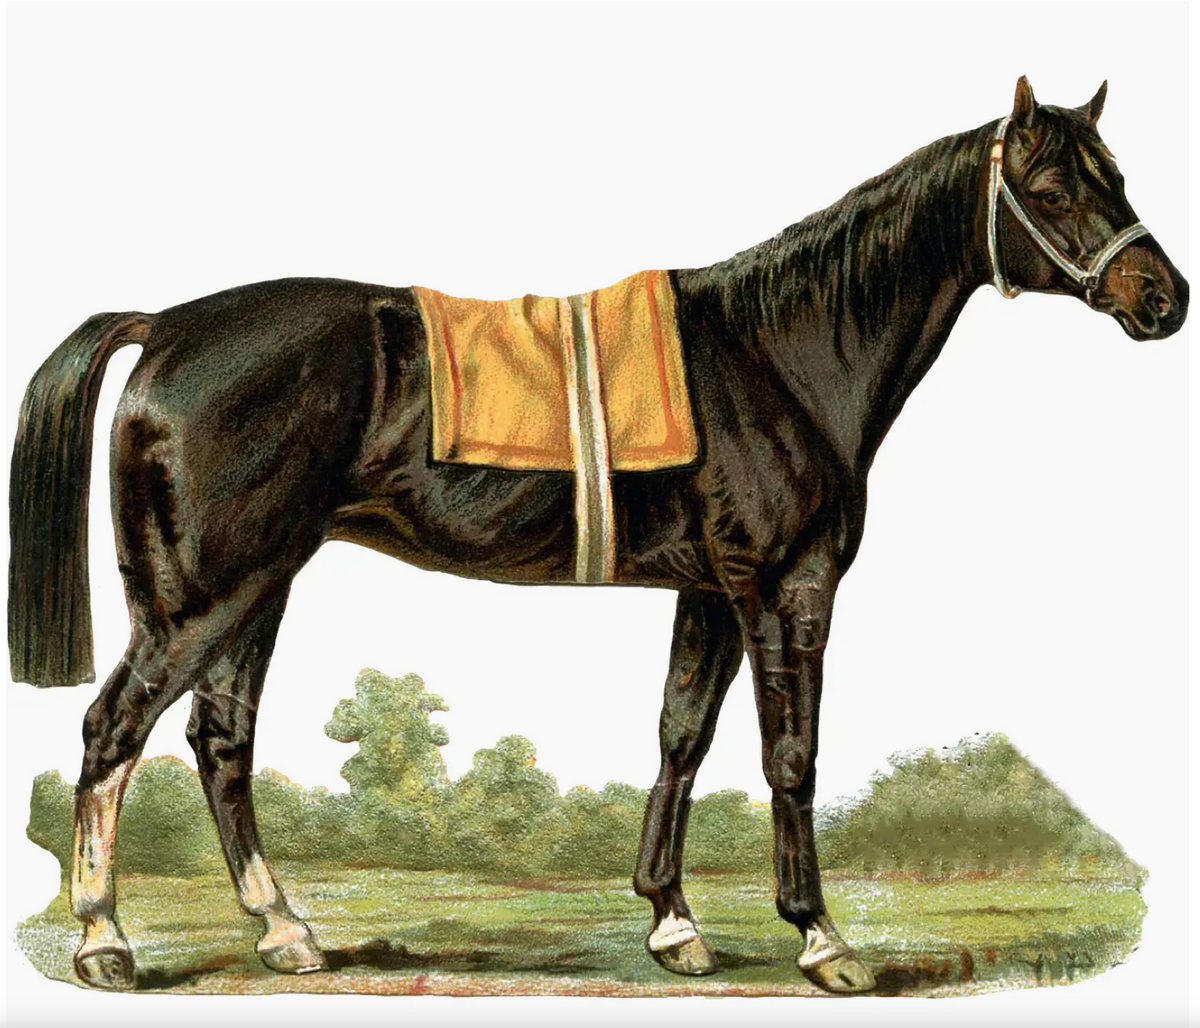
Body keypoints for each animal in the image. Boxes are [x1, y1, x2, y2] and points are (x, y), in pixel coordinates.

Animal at [7, 77, 1187, 994]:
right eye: (1051, 191)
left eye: (1119, 178)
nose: (1162, 297)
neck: (777, 354)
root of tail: (168, 327)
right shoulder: (784, 586)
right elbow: (789, 752)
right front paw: (822, 938)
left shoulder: (709, 591)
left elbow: (680, 736)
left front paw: (672, 922)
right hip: (200, 594)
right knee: (114, 729)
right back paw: (106, 940)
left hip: (259, 584)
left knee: (220, 741)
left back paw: (287, 930)